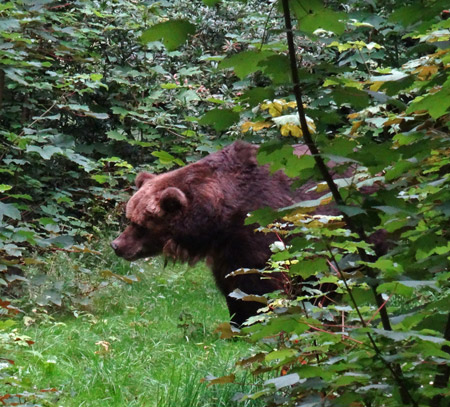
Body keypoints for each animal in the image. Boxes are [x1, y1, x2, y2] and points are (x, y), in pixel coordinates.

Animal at [110, 142, 304, 326]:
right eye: (130, 218)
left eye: (140, 225)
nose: (116, 245)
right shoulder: (226, 253)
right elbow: (233, 288)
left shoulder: (261, 230)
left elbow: (259, 286)